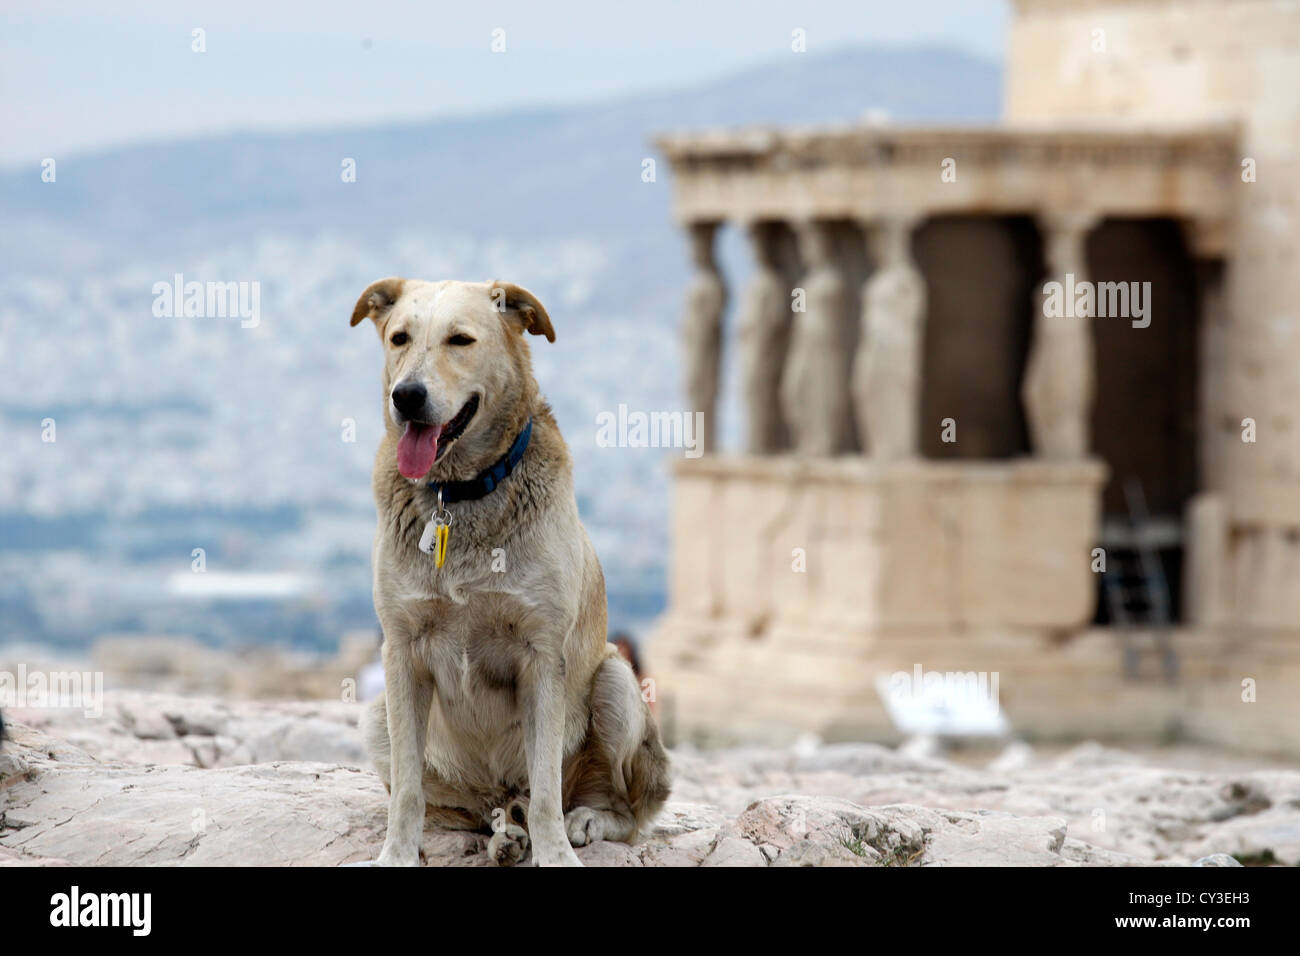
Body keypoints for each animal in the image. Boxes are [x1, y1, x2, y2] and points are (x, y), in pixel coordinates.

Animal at [353, 278, 670, 868]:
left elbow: (546, 787)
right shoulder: (401, 653)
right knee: (472, 807)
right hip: (376, 715)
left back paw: (582, 819)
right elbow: (406, 790)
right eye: (399, 337)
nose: (406, 396)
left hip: (617, 680)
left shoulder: (542, 656)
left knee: (618, 808)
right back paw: (503, 833)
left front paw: (556, 853)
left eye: (460, 340)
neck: (459, 493)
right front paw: (396, 853)